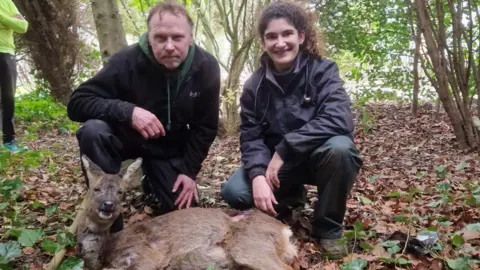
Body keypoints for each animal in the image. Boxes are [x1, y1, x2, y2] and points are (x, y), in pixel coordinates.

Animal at [76, 154, 298, 270]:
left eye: (121, 192)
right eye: (95, 188)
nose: (107, 205)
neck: (107, 251)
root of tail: (284, 230)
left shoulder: (147, 256)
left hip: (249, 244)